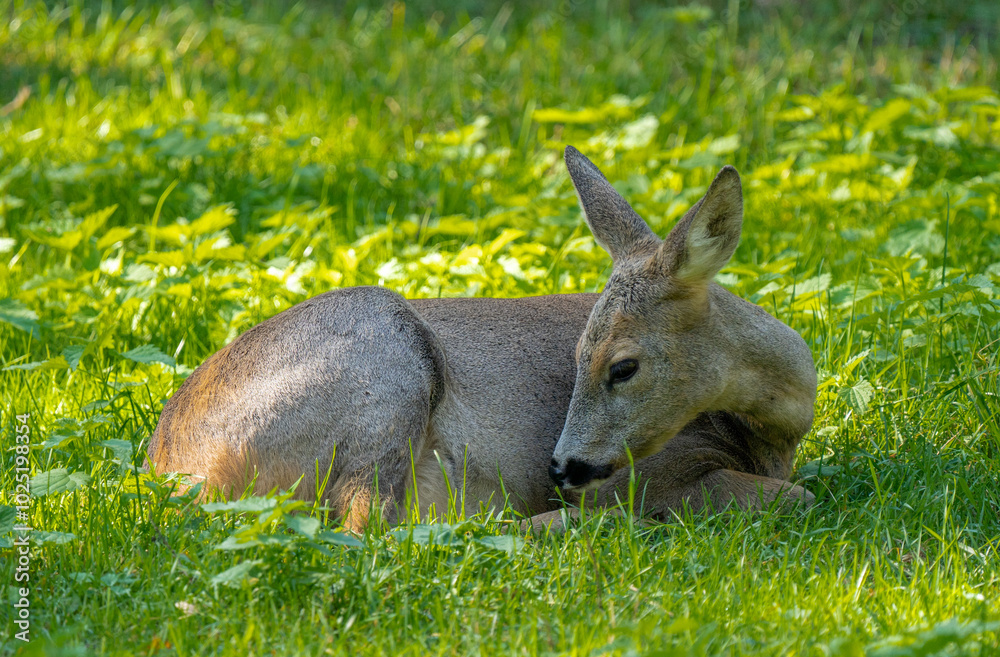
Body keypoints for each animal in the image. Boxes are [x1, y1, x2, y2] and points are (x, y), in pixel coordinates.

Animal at [147, 146, 818, 533]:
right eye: (580, 356)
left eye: (621, 366)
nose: (562, 468)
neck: (768, 435)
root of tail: (179, 470)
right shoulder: (647, 470)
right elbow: (795, 495)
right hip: (387, 368)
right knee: (370, 526)